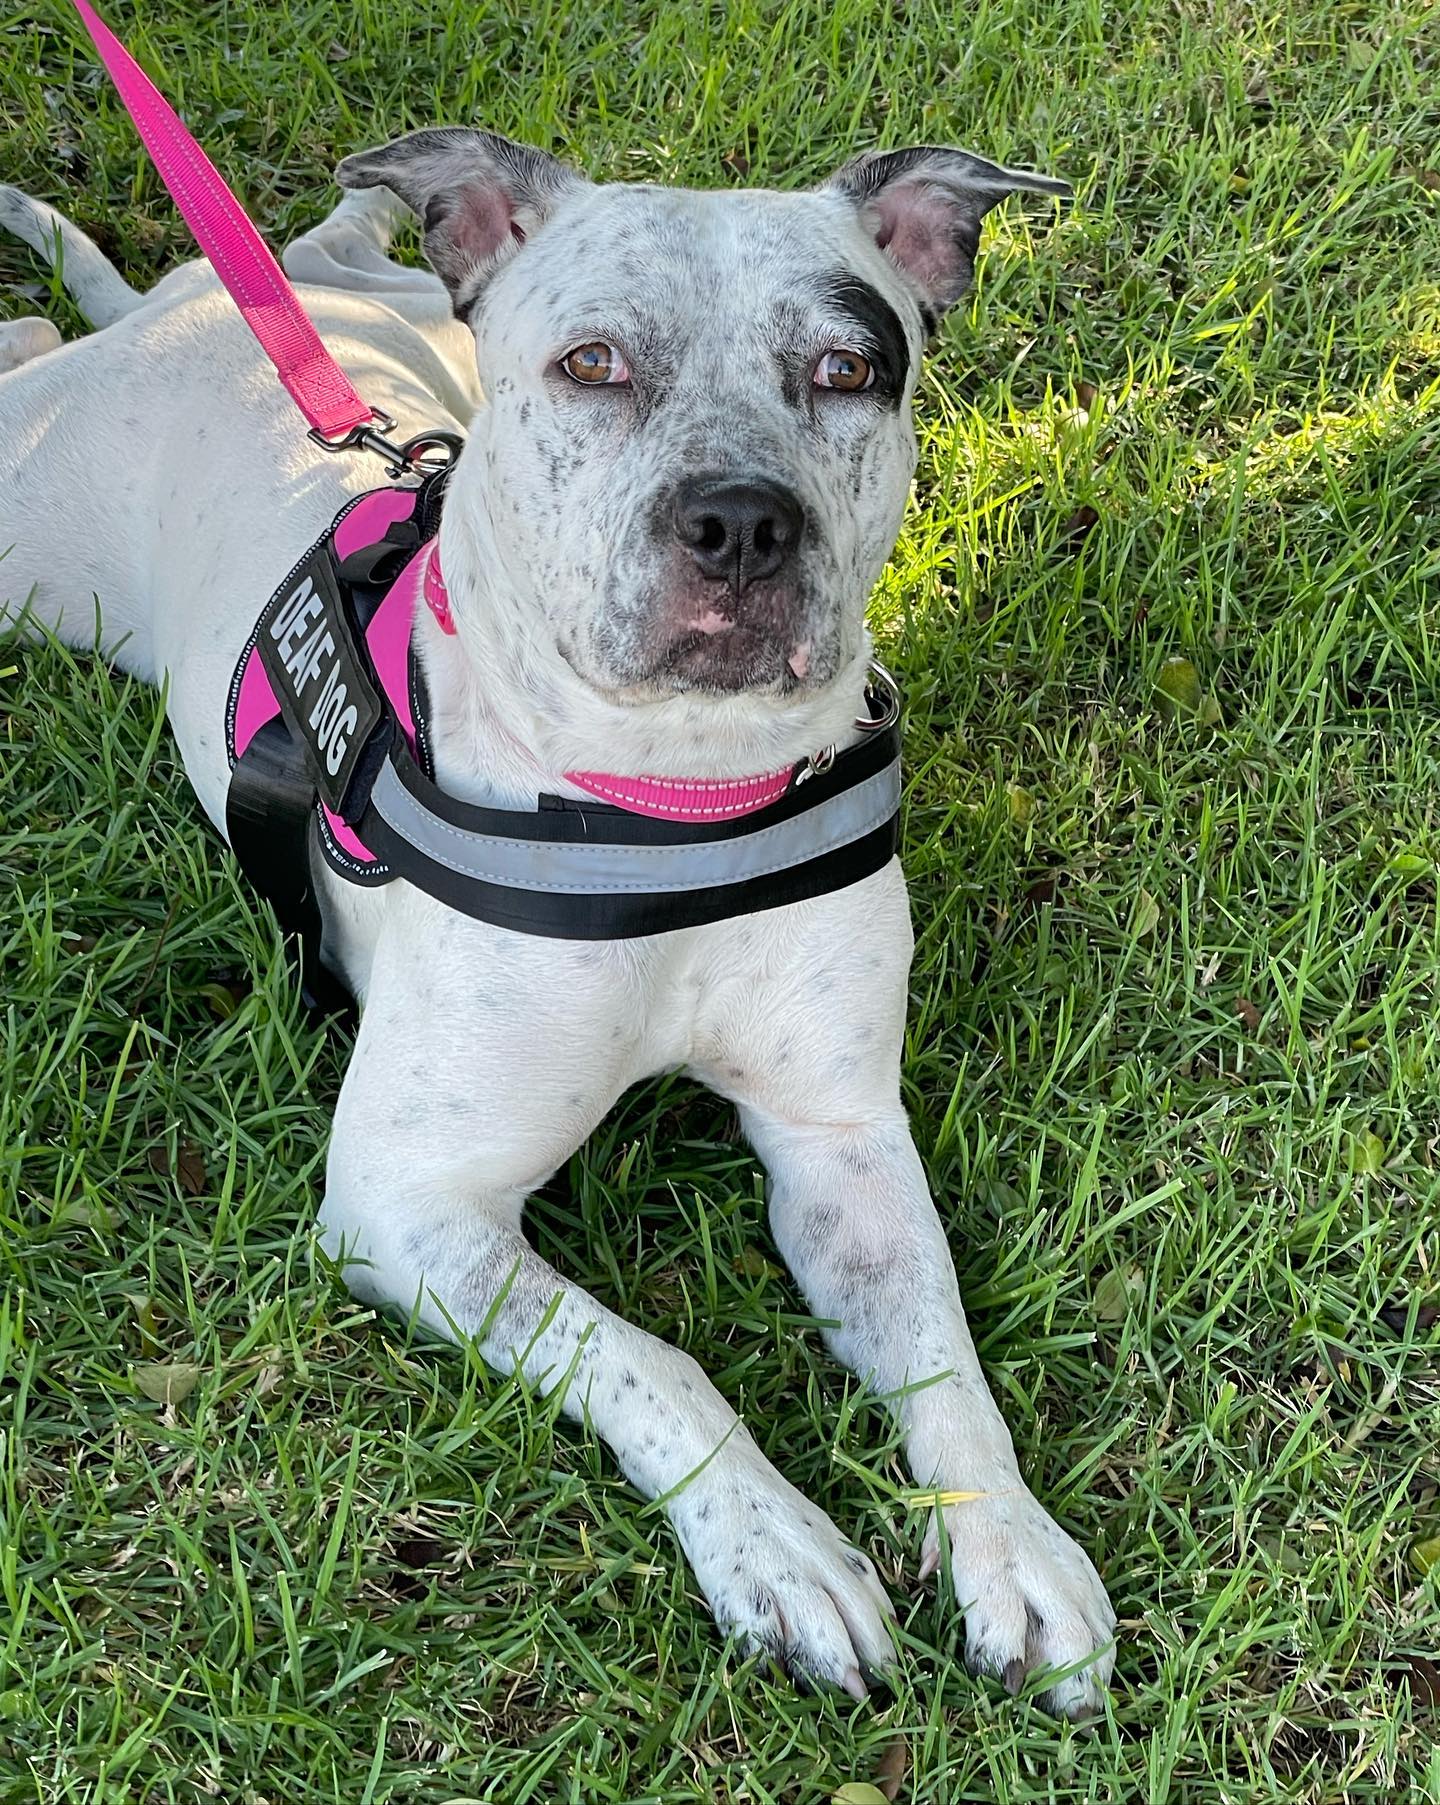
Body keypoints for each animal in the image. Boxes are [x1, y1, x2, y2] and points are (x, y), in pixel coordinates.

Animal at [0, 133, 1118, 1711]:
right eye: (593, 362)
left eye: (850, 368)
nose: (741, 523)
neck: (670, 806)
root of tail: (179, 311)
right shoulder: (410, 1205)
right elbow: (652, 1359)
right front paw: (777, 1547)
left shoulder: (841, 1138)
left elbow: (944, 1357)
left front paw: (1012, 1545)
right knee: (34, 329)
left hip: (396, 315)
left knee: (317, 244)